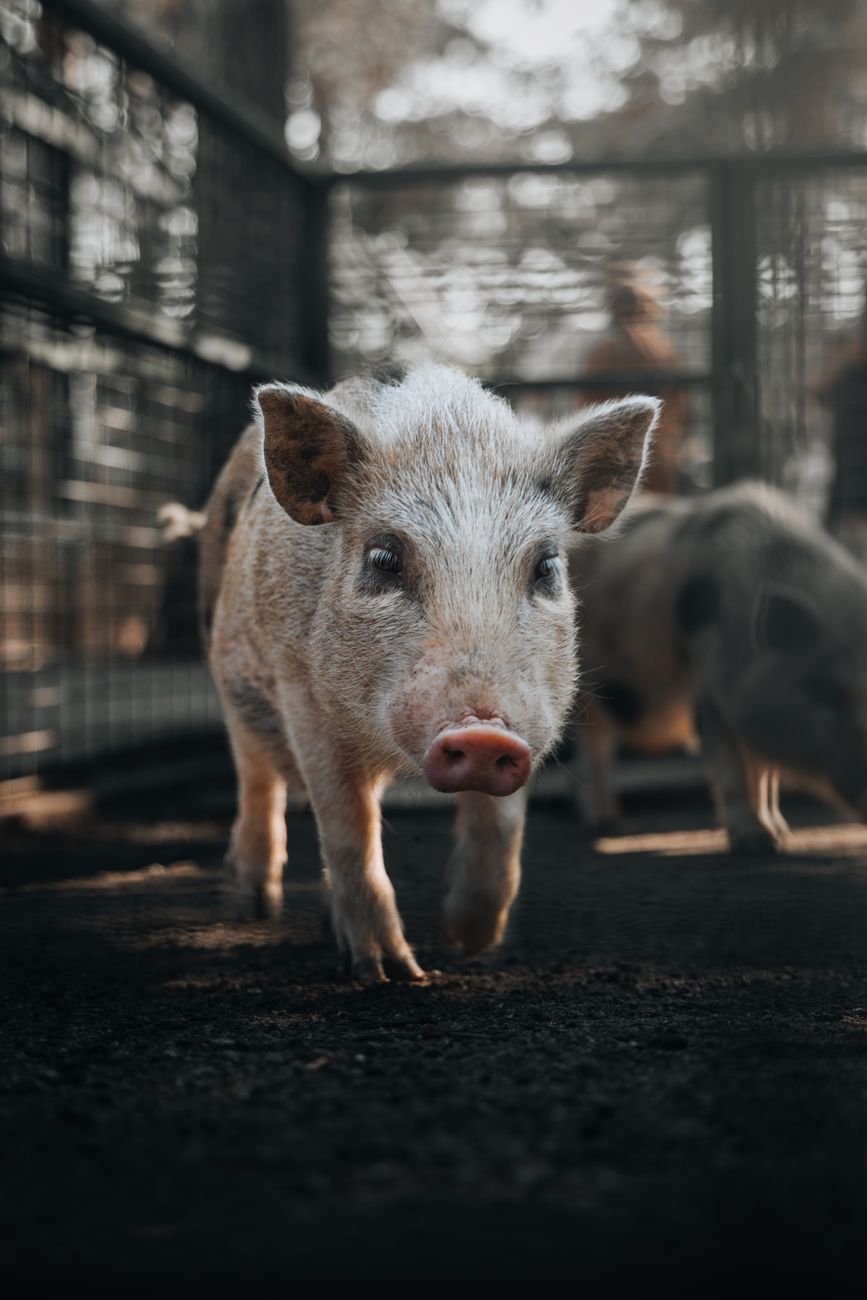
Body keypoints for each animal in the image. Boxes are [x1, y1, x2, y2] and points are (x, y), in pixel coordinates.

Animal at [166, 364, 659, 980]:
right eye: (383, 559)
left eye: (546, 566)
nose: (482, 732)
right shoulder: (301, 693)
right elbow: (347, 828)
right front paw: (394, 974)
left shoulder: (530, 717)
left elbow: (500, 829)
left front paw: (467, 942)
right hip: (230, 674)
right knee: (256, 776)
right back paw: (254, 906)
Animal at [571, 482, 867, 853]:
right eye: (828, 690)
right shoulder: (710, 692)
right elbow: (733, 772)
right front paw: (756, 844)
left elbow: (765, 779)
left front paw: (781, 835)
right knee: (592, 750)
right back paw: (604, 826)